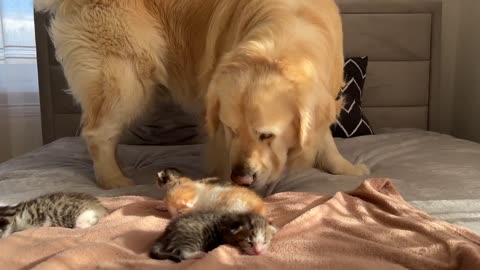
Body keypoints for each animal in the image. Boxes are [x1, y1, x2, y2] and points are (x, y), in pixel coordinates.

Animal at [35, 0, 370, 190]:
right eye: (232, 130)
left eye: (266, 135)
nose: (241, 178)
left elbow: (324, 137)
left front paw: (345, 168)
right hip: (125, 78)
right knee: (97, 132)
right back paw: (112, 179)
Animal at [150, 211, 278, 262]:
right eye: (249, 242)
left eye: (265, 242)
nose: (258, 252)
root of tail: (167, 231)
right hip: (192, 236)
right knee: (182, 253)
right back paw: (199, 254)